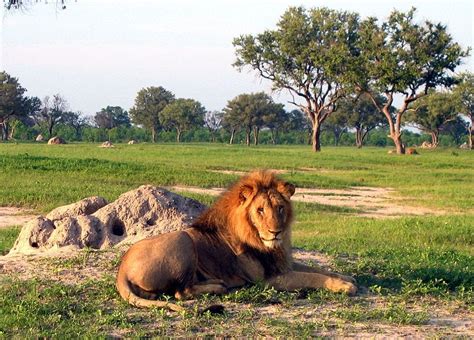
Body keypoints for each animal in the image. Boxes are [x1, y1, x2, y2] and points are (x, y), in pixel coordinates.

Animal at [116, 170, 358, 310]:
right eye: (260, 210)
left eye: (280, 208)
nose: (276, 232)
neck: (267, 244)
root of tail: (122, 270)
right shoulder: (268, 279)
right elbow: (311, 278)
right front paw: (345, 286)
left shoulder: (283, 263)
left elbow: (318, 269)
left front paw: (347, 277)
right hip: (182, 239)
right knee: (180, 292)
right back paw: (219, 287)